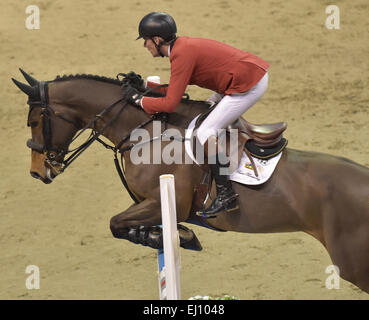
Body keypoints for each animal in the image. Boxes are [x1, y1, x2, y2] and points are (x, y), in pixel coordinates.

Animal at [11, 70, 368, 296]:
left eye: (34, 121)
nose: (38, 171)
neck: (144, 132)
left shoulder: (166, 202)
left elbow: (116, 223)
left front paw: (169, 236)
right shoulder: (150, 204)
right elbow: (121, 224)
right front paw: (166, 235)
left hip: (352, 262)